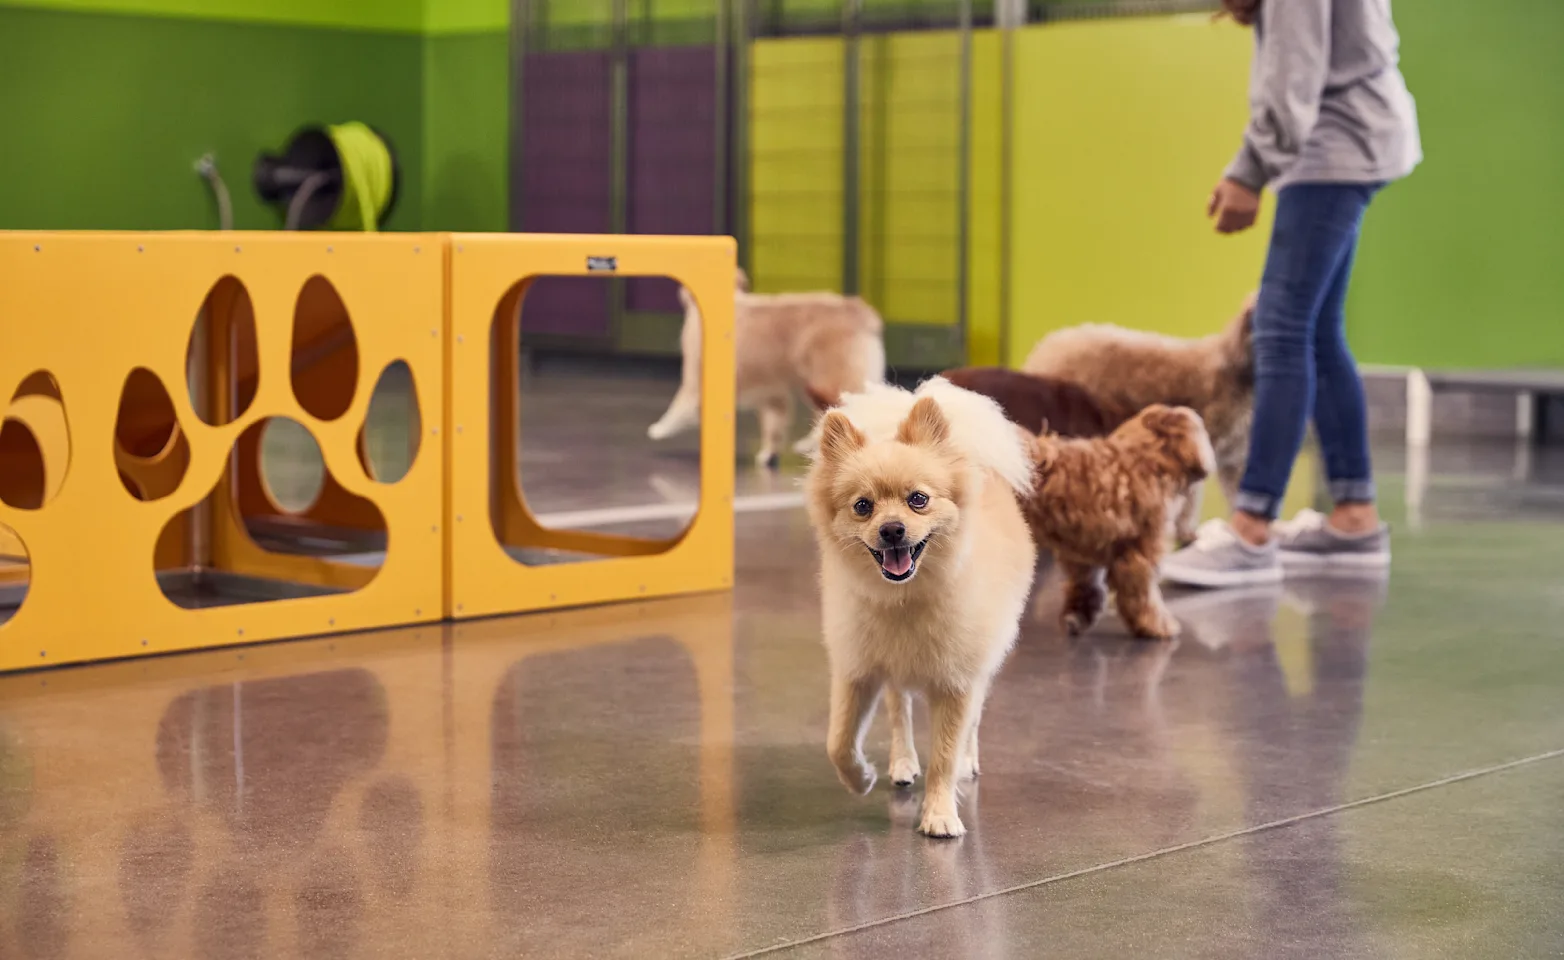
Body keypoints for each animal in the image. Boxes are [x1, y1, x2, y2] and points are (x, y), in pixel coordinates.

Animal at [647, 267, 888, 469]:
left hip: (829, 381)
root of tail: (857, 310)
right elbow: (774, 428)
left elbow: (679, 405)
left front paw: (660, 428)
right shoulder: (773, 394)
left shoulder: (694, 377)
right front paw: (768, 455)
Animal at [807, 379, 1038, 838]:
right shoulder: (858, 669)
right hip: (893, 675)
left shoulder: (957, 682)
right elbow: (838, 742)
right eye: (863, 506)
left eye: (918, 499)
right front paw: (861, 778)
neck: (903, 598)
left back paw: (967, 760)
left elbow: (945, 756)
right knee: (900, 713)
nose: (892, 529)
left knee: (973, 723)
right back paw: (902, 762)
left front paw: (940, 814)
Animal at [1025, 403, 1219, 641]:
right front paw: (1157, 625)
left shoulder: (1082, 555)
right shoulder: (1142, 552)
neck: (1146, 459)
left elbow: (1086, 587)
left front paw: (1077, 617)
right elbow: (1143, 594)